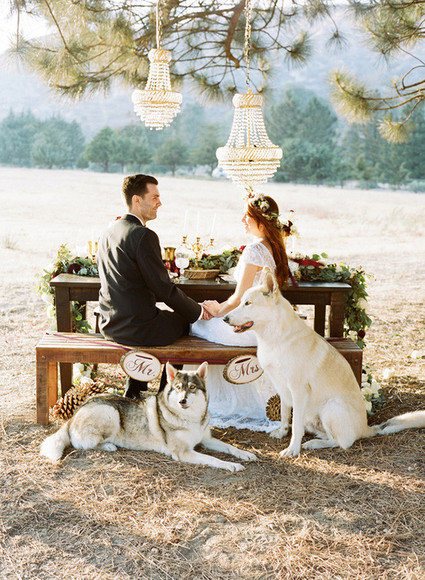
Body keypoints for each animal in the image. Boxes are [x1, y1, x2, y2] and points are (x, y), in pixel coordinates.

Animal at [40, 362, 257, 471]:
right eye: (178, 388)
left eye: (192, 388)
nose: (182, 401)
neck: (190, 419)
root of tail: (74, 414)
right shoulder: (183, 453)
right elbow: (213, 459)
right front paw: (231, 465)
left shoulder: (206, 440)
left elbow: (229, 446)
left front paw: (244, 454)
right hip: (111, 413)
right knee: (83, 443)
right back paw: (109, 446)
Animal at [224, 268, 425, 457]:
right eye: (241, 302)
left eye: (247, 303)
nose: (224, 318)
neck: (275, 337)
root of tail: (367, 428)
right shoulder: (281, 389)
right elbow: (284, 415)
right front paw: (282, 433)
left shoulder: (298, 391)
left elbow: (295, 425)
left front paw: (292, 449)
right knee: (327, 435)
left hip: (331, 407)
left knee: (342, 443)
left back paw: (313, 444)